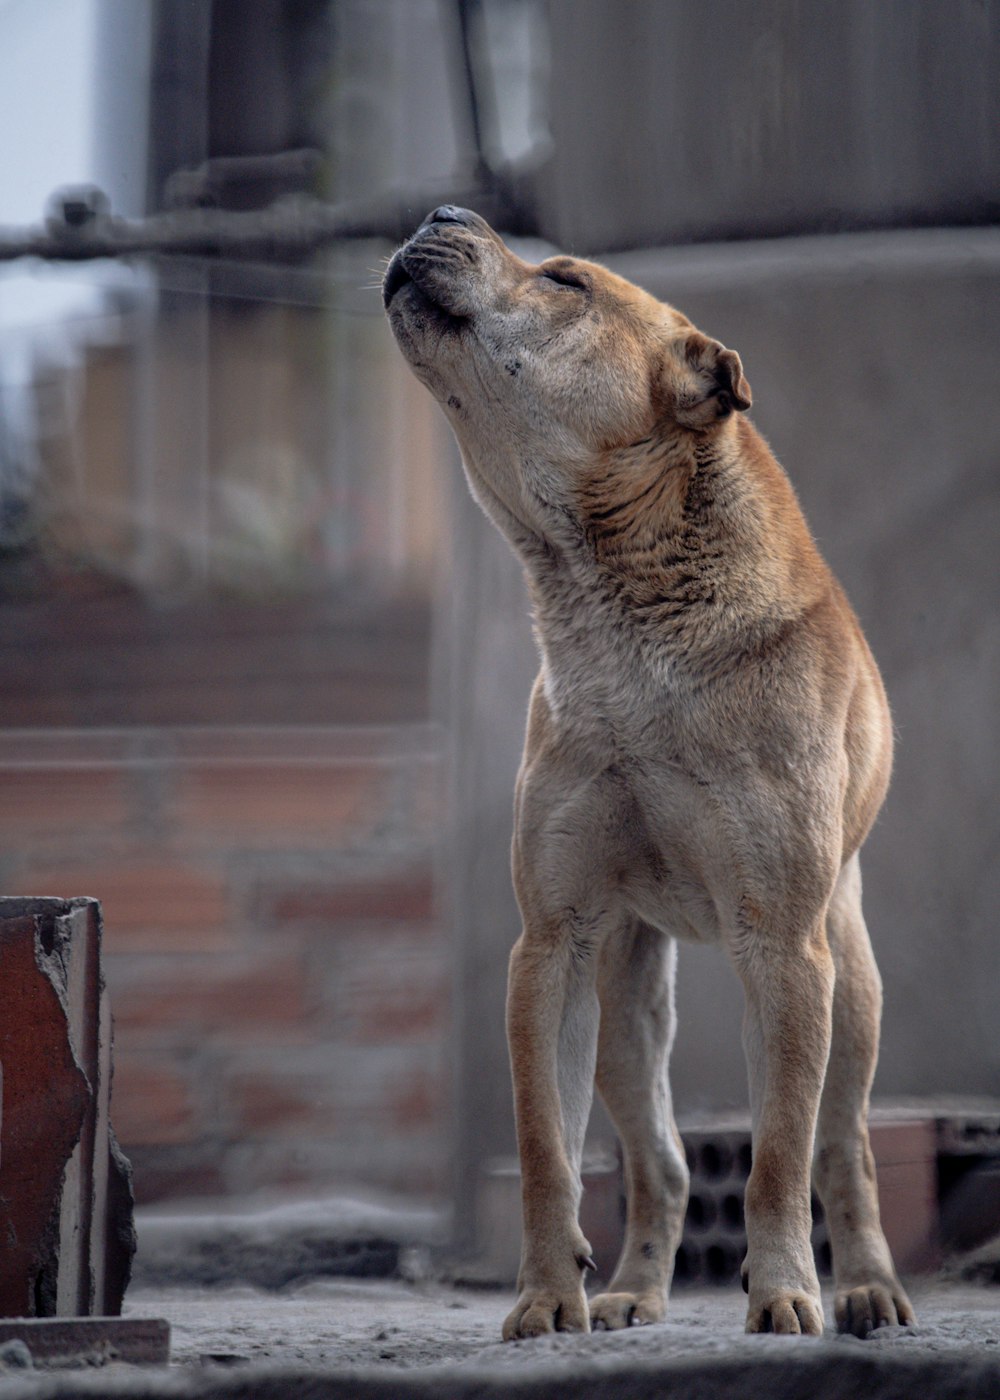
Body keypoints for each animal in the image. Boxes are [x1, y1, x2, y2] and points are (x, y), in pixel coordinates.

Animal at [386, 204, 913, 1332]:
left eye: (565, 281)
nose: (442, 211)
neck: (617, 606)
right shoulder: (554, 945)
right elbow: (547, 1150)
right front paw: (549, 1300)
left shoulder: (783, 949)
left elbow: (779, 1153)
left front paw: (785, 1295)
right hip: (628, 1001)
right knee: (658, 1161)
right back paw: (632, 1288)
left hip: (848, 982)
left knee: (843, 1146)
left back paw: (864, 1284)